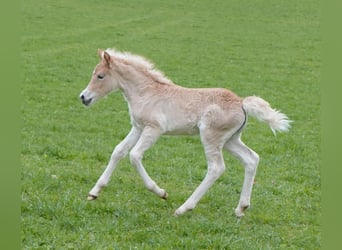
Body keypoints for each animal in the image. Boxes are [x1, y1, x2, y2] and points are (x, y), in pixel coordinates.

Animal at [80, 48, 292, 217]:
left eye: (100, 76)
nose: (83, 97)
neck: (146, 92)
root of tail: (241, 102)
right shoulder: (138, 127)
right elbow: (118, 151)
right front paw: (94, 192)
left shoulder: (154, 129)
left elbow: (134, 155)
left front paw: (161, 192)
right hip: (230, 140)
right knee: (251, 159)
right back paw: (241, 208)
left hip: (210, 136)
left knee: (216, 168)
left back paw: (184, 208)